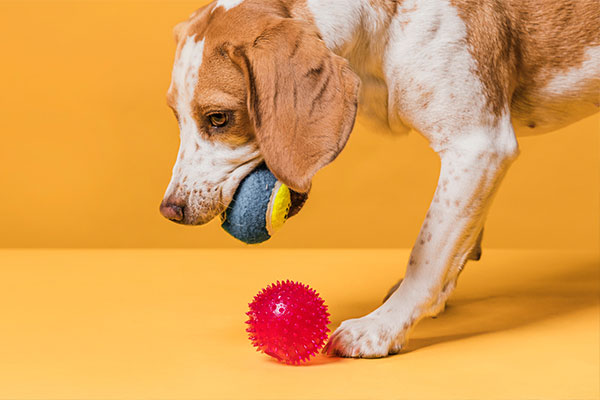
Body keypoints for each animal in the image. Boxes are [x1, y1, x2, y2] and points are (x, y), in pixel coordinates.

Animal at [157, 0, 596, 358]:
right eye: (177, 117)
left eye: (219, 118)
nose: (170, 210)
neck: (384, 25)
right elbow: (456, 242)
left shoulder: (477, 145)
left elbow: (427, 253)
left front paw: (384, 326)